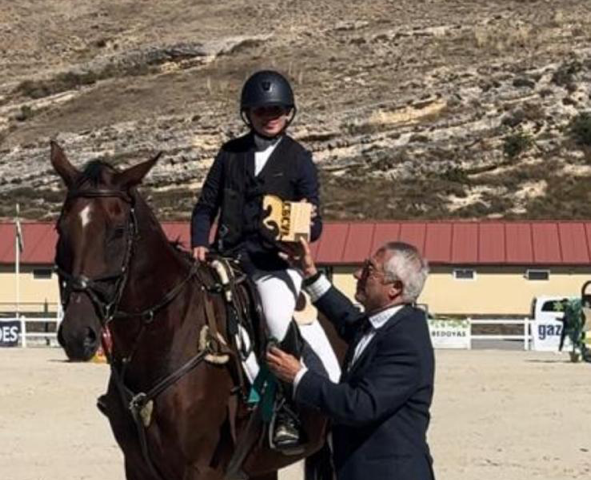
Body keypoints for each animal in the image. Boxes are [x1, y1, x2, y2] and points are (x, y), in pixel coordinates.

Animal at [52, 140, 346, 480]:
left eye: (118, 231)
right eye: (61, 228)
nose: (77, 335)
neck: (163, 336)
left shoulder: (199, 469)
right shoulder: (136, 466)